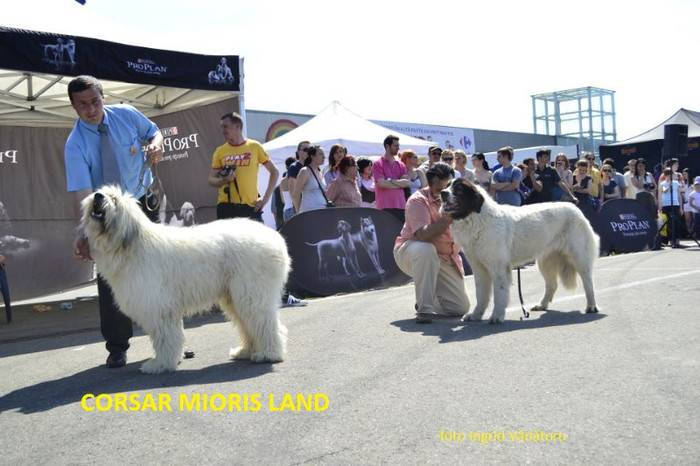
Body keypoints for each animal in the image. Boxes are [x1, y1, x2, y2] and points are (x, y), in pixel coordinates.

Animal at [82, 184, 290, 374]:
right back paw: (245, 351)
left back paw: (269, 354)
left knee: (266, 323)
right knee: (248, 325)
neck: (131, 245)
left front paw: (160, 364)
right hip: (235, 296)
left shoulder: (158, 305)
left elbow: (165, 337)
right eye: (101, 192)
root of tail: (276, 239)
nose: (98, 196)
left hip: (252, 291)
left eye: (114, 199)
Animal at [440, 178, 600, 324]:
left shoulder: (498, 268)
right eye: (447, 185)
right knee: (552, 285)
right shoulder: (479, 269)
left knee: (588, 281)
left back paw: (592, 306)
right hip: (545, 261)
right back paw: (542, 305)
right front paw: (476, 315)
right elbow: (481, 295)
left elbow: (499, 293)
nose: (442, 193)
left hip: (578, 256)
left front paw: (496, 316)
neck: (475, 218)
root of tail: (575, 208)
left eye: (459, 189)